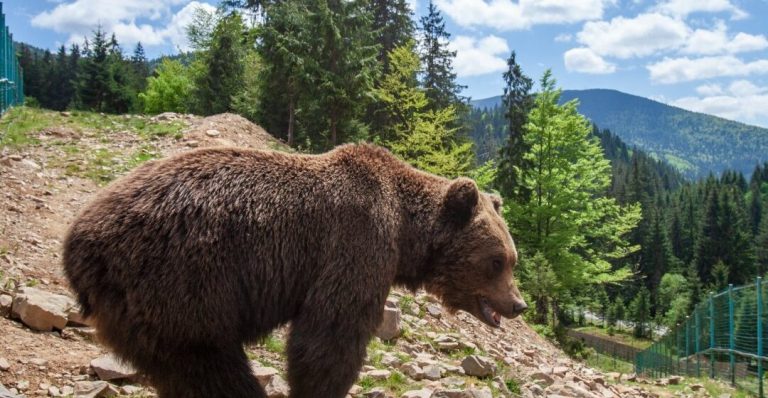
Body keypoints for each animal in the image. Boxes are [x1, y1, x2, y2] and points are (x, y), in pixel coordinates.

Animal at [63, 145, 528, 398]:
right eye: (496, 261)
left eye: (512, 258)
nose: (518, 304)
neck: (405, 231)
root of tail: (78, 243)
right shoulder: (356, 244)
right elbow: (330, 336)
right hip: (179, 284)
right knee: (210, 367)